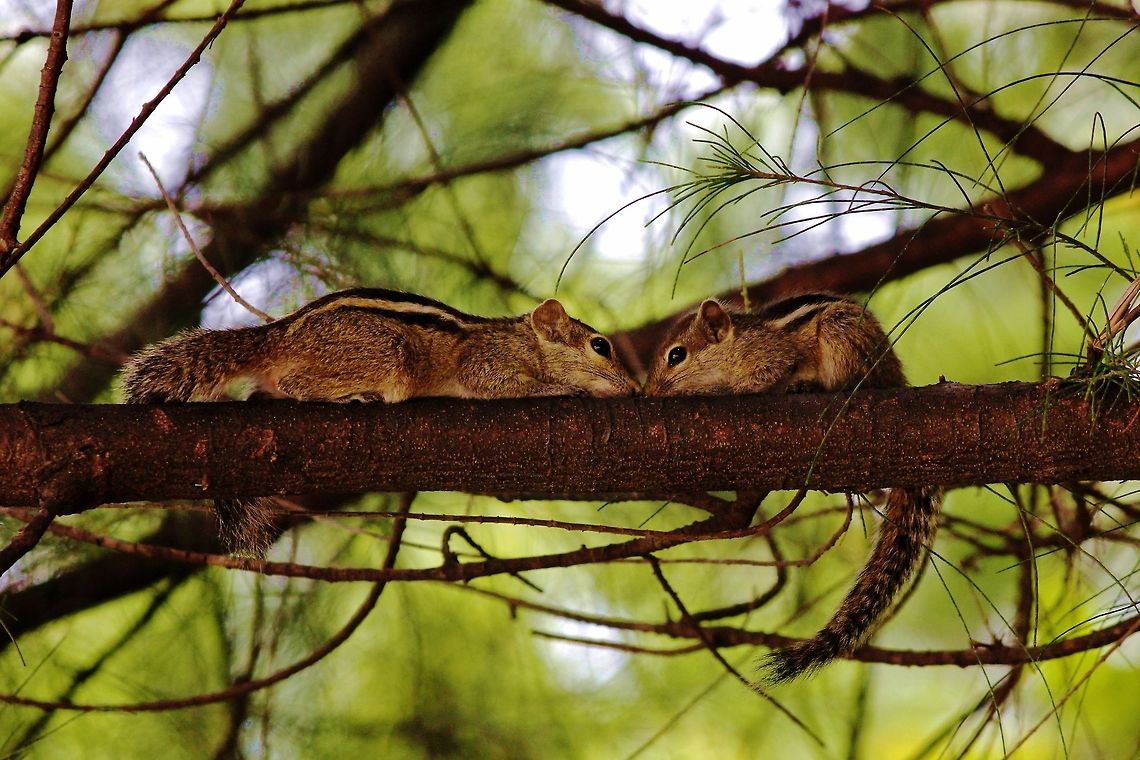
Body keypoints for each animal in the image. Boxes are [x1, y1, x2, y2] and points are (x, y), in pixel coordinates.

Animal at [121, 287, 640, 552]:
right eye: (600, 346)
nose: (634, 389)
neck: (525, 341)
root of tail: (277, 336)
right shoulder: (487, 362)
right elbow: (500, 383)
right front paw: (561, 388)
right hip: (387, 353)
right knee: (295, 383)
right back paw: (352, 395)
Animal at [642, 292, 939, 683]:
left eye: (677, 355)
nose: (647, 393)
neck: (734, 346)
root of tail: (896, 375)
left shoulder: (772, 357)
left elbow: (771, 375)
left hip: (843, 333)